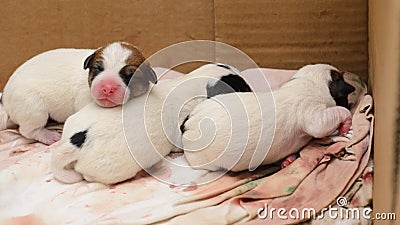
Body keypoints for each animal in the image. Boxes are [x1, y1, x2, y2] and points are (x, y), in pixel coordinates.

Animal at [0, 42, 156, 144]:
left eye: (131, 76)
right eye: (99, 68)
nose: (107, 88)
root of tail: (5, 98)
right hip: (34, 108)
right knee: (28, 130)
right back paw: (49, 136)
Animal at [183, 64, 354, 171]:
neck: (310, 81)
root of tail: (188, 122)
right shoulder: (315, 117)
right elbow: (332, 117)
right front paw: (346, 124)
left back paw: (287, 160)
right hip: (202, 160)